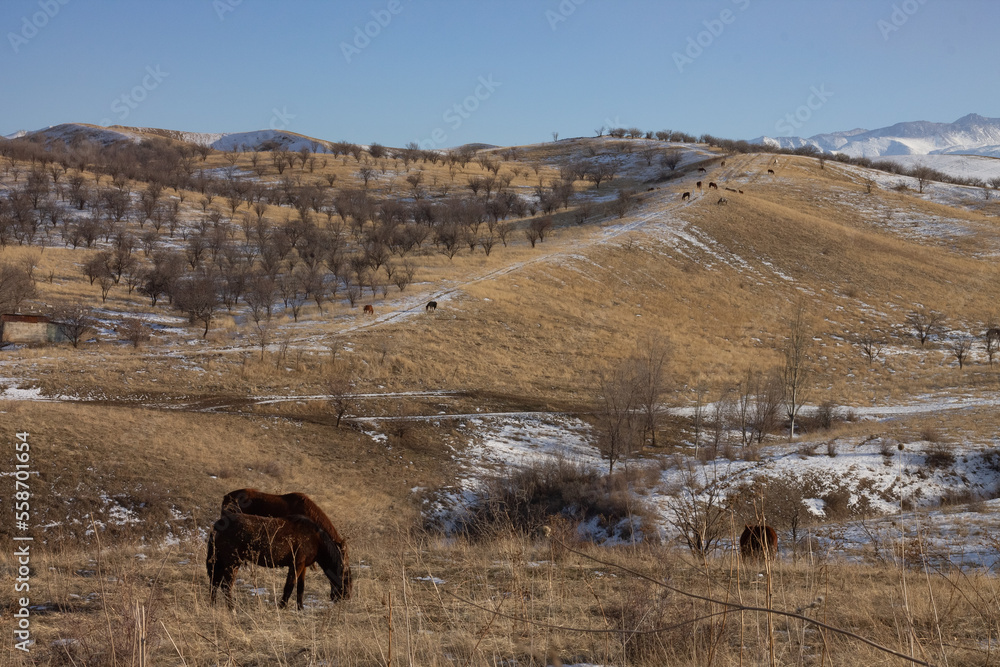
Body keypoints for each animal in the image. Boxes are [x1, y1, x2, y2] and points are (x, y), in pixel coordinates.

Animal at [207, 513, 348, 610]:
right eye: (345, 577)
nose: (346, 597)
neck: (315, 539)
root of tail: (219, 524)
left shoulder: (303, 566)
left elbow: (300, 587)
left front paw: (300, 608)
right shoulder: (296, 565)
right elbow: (289, 586)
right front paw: (282, 606)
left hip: (221, 563)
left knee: (215, 583)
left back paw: (213, 605)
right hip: (232, 563)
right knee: (226, 586)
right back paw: (232, 609)